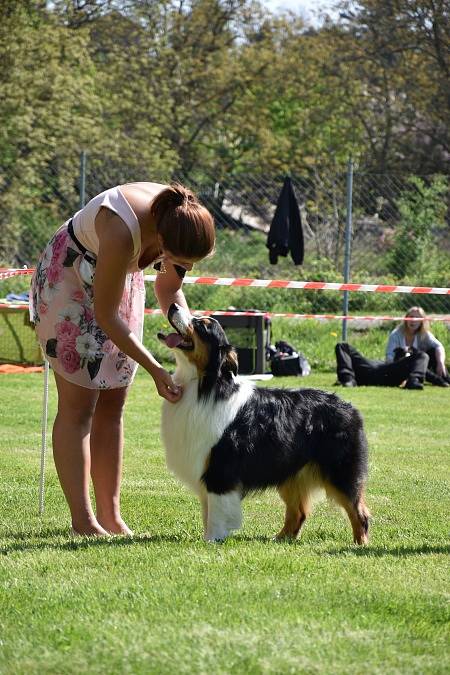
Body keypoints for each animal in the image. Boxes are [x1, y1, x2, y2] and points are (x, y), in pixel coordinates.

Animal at [158, 304, 370, 544]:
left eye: (202, 325)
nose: (173, 306)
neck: (205, 386)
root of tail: (350, 407)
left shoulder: (219, 471)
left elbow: (216, 515)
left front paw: (212, 541)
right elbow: (208, 512)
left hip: (340, 471)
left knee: (359, 512)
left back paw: (360, 544)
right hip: (291, 472)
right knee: (298, 513)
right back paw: (280, 539)